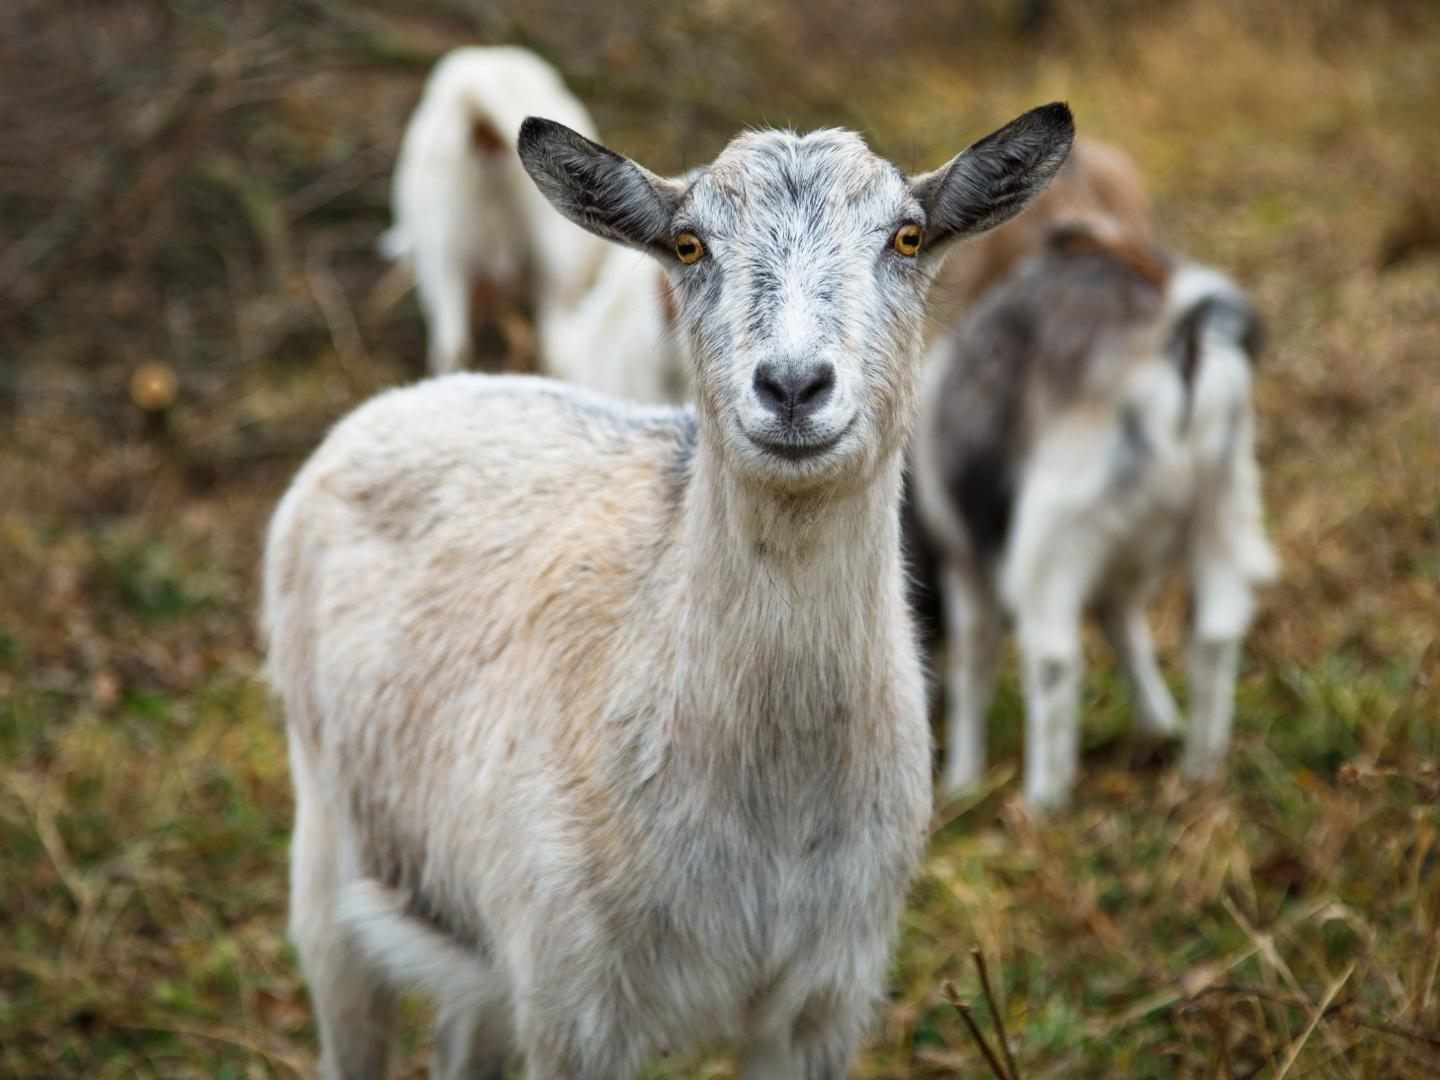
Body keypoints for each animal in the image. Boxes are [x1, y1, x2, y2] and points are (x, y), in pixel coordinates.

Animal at [267, 103, 1082, 1080]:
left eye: (908, 236)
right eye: (689, 245)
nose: (794, 385)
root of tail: (403, 400)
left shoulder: (823, 999)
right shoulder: (575, 999)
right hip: (330, 857)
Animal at [915, 226, 1278, 806]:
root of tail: (1173, 336)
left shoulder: (966, 566)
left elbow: (974, 661)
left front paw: (962, 783)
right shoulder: (1117, 568)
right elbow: (1123, 628)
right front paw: (1158, 723)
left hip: (1051, 534)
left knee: (1053, 658)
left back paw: (1044, 800)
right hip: (1222, 509)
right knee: (1215, 639)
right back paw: (1200, 769)